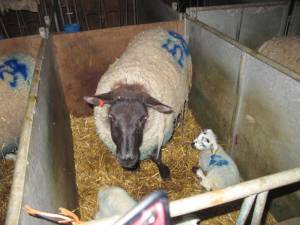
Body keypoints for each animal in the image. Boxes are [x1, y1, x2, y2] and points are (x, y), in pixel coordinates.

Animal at [84, 28, 192, 179]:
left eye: (143, 118)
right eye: (111, 116)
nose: (127, 158)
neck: (131, 82)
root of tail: (162, 29)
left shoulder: (159, 136)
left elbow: (156, 157)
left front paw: (164, 172)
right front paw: (135, 168)